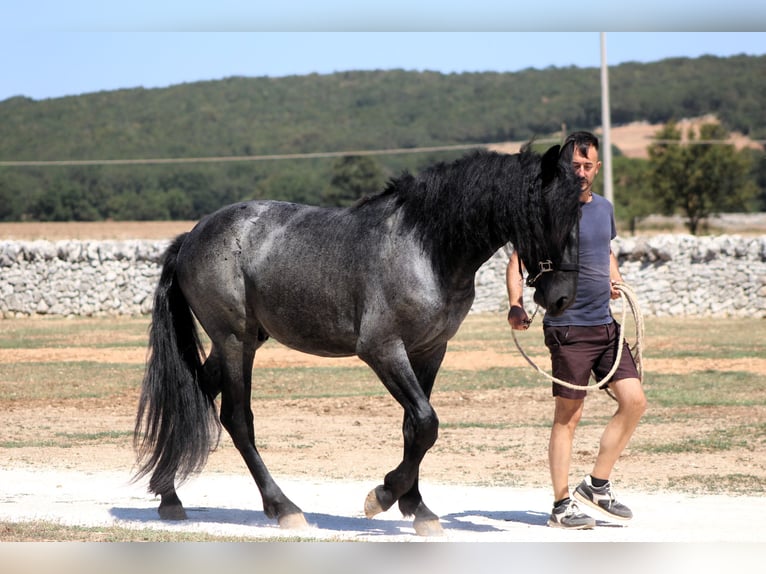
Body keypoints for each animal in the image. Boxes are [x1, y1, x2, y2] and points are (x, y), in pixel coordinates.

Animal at [133, 143, 582, 537]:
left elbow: (414, 428)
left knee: (194, 394)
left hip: (248, 340)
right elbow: (426, 422)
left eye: (578, 213)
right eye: (545, 215)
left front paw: (417, 507)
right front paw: (382, 495)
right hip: (232, 340)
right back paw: (284, 508)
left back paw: (169, 496)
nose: (562, 297)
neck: (426, 248)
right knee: (237, 419)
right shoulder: (382, 350)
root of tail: (191, 237)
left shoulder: (429, 351)